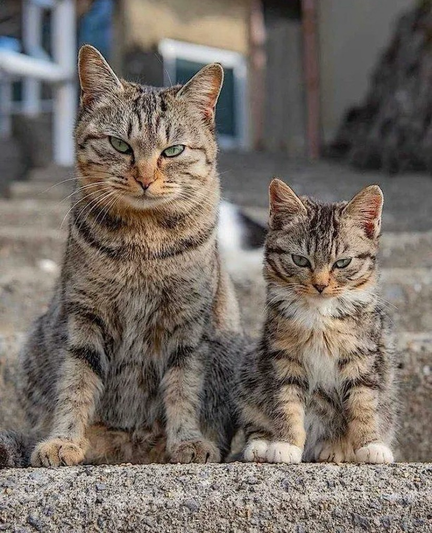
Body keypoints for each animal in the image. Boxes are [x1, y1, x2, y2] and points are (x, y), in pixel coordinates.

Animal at [0, 45, 245, 466]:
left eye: (173, 150)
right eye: (120, 145)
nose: (145, 179)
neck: (141, 243)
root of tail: (131, 445)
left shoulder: (187, 321)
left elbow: (184, 385)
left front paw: (189, 441)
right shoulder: (85, 314)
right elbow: (76, 381)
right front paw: (63, 440)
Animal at [238, 179, 396, 462]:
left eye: (342, 263)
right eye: (300, 259)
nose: (320, 285)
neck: (320, 316)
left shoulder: (363, 355)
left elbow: (364, 403)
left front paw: (371, 444)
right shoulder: (283, 356)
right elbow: (286, 402)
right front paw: (285, 444)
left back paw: (335, 449)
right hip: (251, 370)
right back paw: (261, 445)